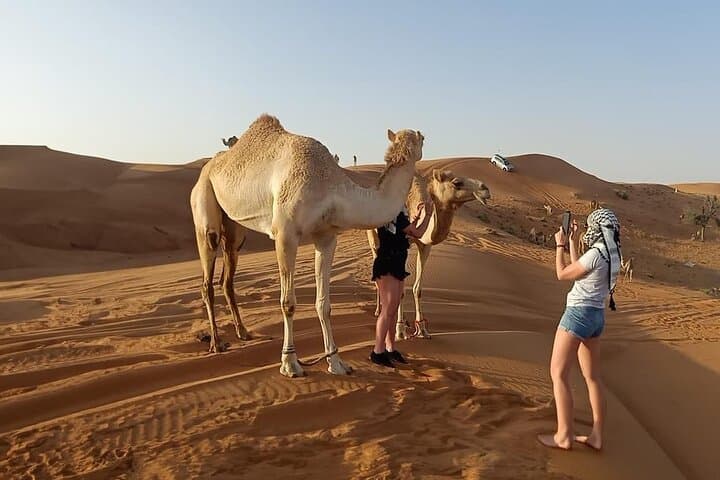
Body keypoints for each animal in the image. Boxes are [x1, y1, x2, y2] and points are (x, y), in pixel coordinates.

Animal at [191, 114, 425, 377]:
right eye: (423, 139)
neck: (331, 186)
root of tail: (209, 166)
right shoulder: (285, 234)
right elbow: (288, 303)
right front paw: (290, 362)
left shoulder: (326, 236)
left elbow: (324, 304)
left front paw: (336, 362)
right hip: (203, 203)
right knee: (207, 273)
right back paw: (216, 343)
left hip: (234, 229)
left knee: (228, 273)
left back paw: (243, 332)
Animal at [367, 169, 491, 340]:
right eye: (457, 182)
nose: (485, 189)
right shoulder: (404, 243)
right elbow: (401, 289)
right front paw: (400, 330)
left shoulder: (425, 245)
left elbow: (417, 288)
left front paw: (422, 329)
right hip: (374, 239)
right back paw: (379, 311)